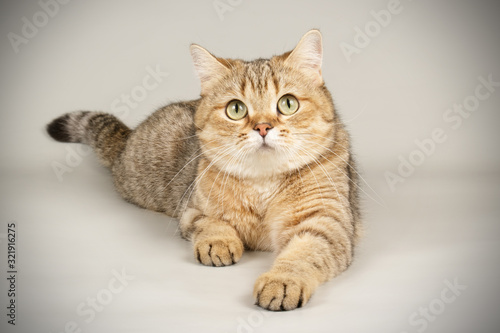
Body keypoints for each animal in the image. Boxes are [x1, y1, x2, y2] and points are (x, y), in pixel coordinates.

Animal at [46, 29, 360, 310]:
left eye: (288, 103)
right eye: (236, 109)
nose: (262, 127)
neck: (262, 183)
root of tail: (127, 137)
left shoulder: (327, 222)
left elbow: (303, 254)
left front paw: (283, 281)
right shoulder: (192, 209)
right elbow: (211, 224)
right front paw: (218, 242)